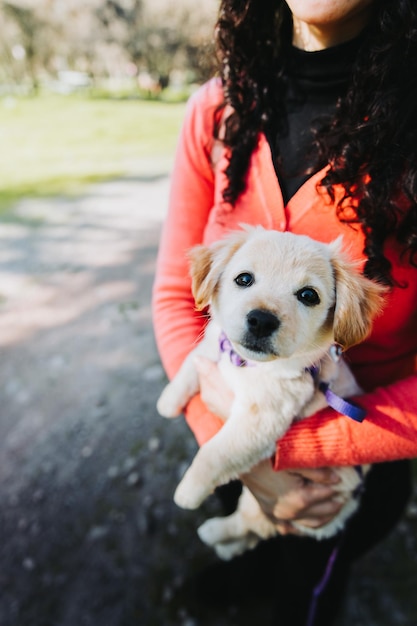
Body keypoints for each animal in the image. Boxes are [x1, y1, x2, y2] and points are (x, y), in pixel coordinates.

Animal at [157, 224, 384, 556]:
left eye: (308, 295)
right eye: (244, 279)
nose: (261, 320)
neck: (249, 365)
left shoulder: (260, 419)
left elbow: (215, 452)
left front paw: (189, 490)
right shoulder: (217, 343)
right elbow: (193, 359)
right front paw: (169, 401)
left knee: (253, 525)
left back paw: (215, 532)